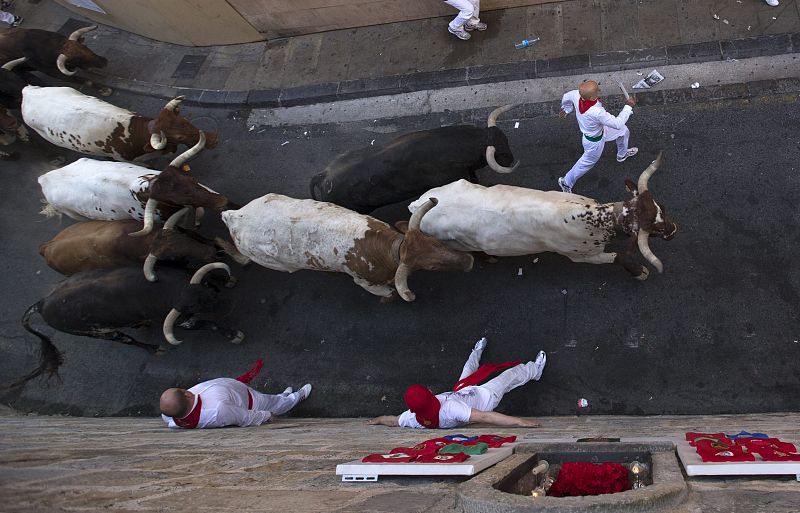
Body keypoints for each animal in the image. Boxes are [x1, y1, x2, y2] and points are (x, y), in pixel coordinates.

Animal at [7, 264, 241, 388]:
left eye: (206, 290)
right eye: (195, 305)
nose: (229, 306)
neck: (164, 290)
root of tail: (42, 303)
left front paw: (228, 282)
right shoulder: (184, 321)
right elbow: (209, 324)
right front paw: (234, 334)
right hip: (101, 332)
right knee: (126, 339)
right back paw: (154, 348)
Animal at [220, 195, 476, 300]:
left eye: (436, 242)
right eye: (430, 267)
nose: (469, 262)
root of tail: (234, 215)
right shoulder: (366, 283)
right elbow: (387, 292)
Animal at [410, 153, 680, 280]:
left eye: (663, 207)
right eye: (655, 229)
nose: (673, 230)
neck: (593, 218)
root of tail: (418, 204)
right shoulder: (583, 256)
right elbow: (618, 257)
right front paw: (639, 271)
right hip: (456, 243)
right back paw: (489, 258)